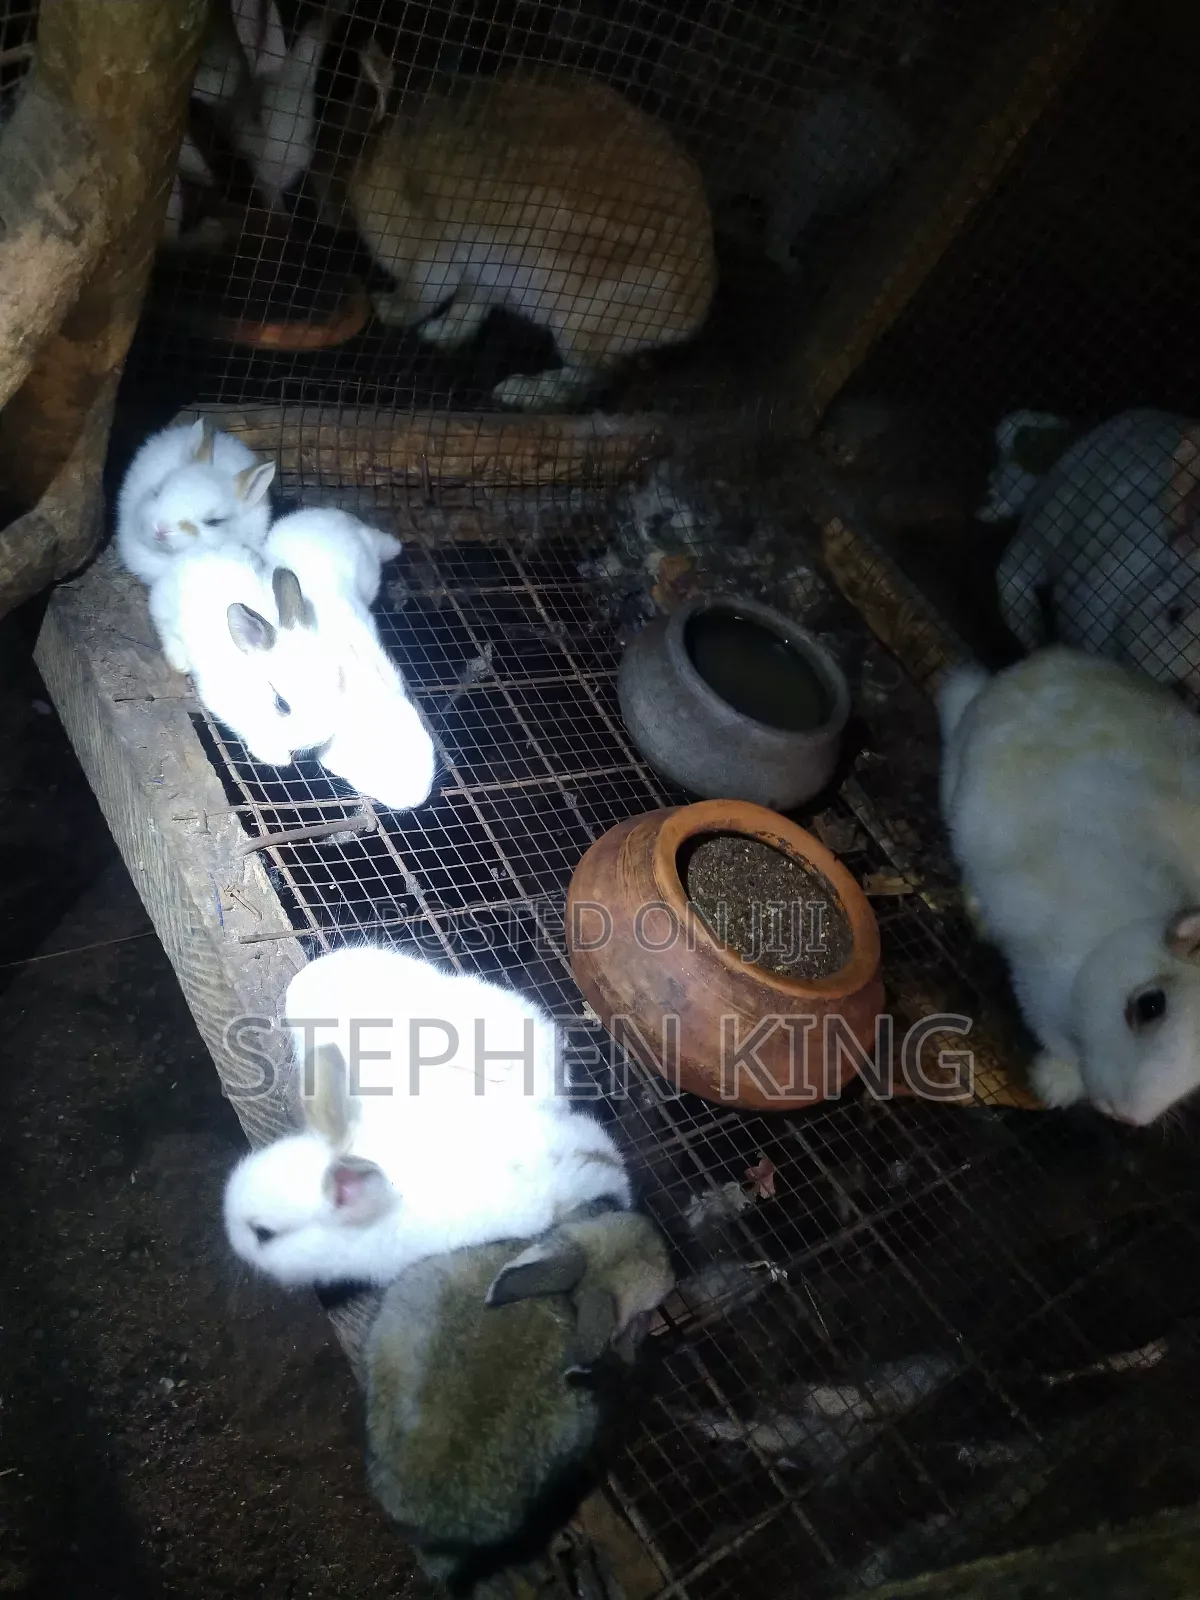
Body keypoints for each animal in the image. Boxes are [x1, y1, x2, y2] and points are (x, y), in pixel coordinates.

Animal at [319, 51, 715, 411]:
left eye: (338, 141)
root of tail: (692, 311)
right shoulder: (485, 266)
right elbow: (468, 305)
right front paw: (440, 334)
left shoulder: (431, 253)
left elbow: (422, 294)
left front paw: (386, 308)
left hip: (580, 322)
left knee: (593, 376)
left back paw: (522, 391)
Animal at [938, 646, 1200, 1125]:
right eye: (1149, 1005)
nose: (1124, 1116)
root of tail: (1044, 662)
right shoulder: (1038, 982)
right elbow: (1057, 1043)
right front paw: (1054, 1084)